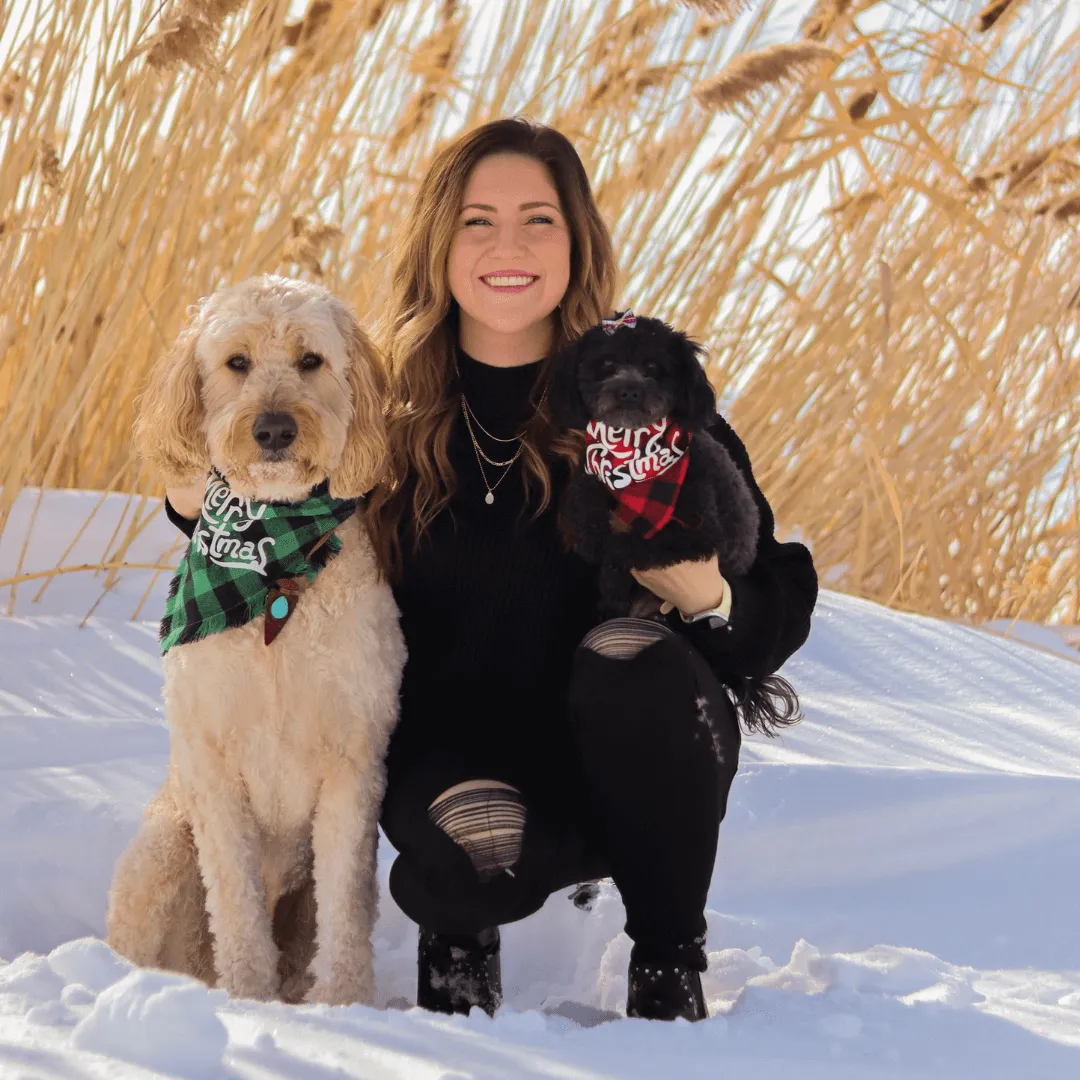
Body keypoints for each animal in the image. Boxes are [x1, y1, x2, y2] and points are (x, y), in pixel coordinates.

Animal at [106, 274, 406, 1006]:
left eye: (311, 360)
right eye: (236, 362)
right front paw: (247, 999)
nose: (272, 429)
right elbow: (237, 908)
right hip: (161, 848)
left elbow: (345, 910)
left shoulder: (353, 764)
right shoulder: (213, 769)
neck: (272, 566)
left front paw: (343, 1006)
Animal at [552, 313, 799, 734]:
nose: (629, 392)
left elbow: (625, 547)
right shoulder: (589, 501)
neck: (635, 465)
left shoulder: (694, 538)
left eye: (654, 367)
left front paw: (615, 579)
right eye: (606, 363)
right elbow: (592, 525)